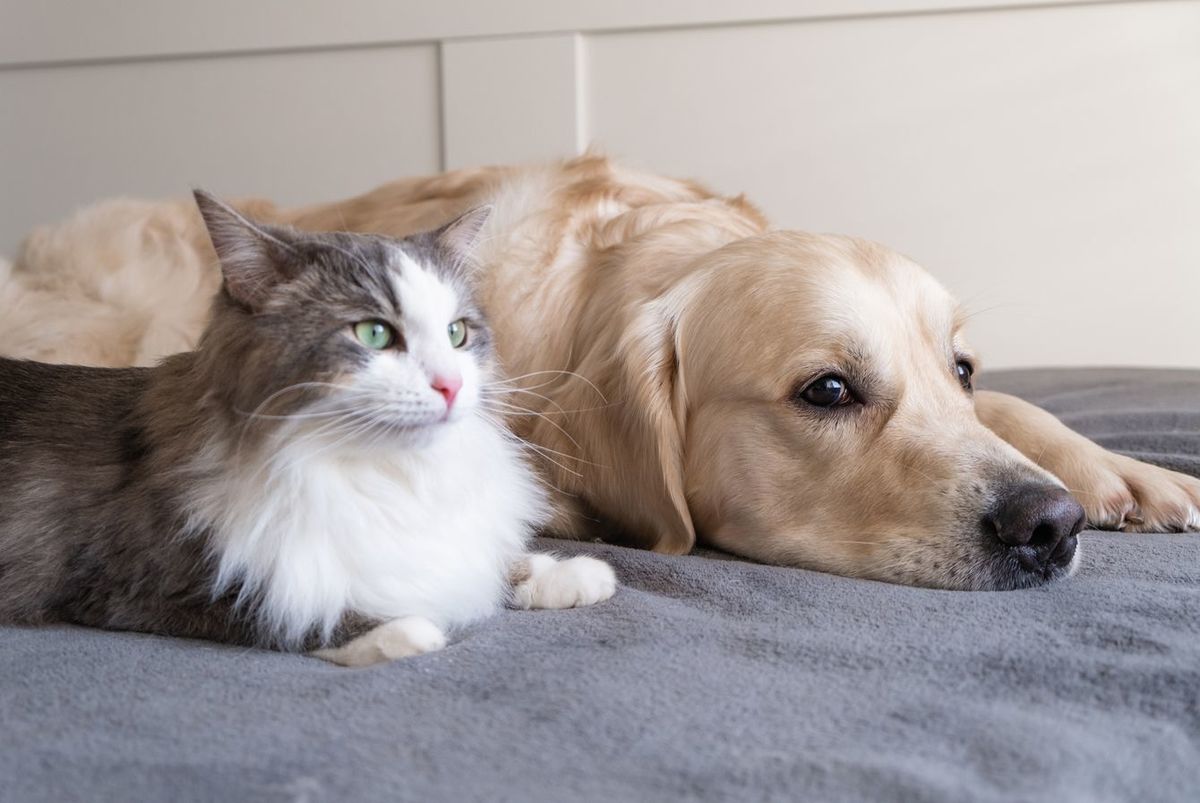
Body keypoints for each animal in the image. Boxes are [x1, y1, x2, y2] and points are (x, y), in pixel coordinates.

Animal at [0, 190, 619, 667]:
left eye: (457, 333)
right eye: (373, 334)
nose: (451, 386)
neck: (380, 471)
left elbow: (485, 559)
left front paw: (568, 575)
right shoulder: (130, 581)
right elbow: (288, 613)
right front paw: (403, 631)